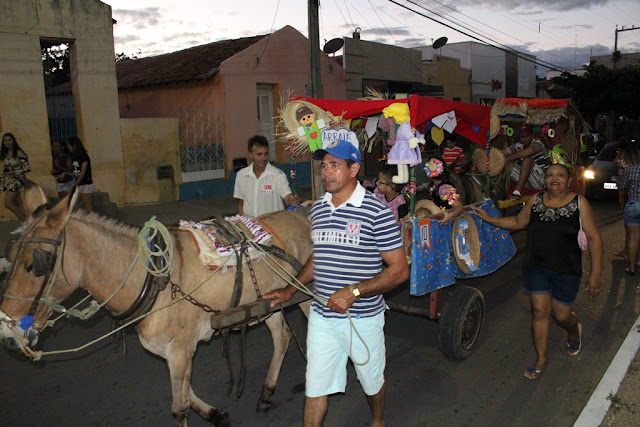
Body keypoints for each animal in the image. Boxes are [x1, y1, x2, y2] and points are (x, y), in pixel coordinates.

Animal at [0, 182, 313, 426]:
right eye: (10, 258)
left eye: (35, 265)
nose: (6, 335)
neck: (153, 279)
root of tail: (303, 216)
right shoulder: (172, 350)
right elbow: (186, 394)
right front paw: (215, 414)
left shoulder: (180, 349)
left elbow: (179, 407)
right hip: (269, 300)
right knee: (282, 336)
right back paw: (266, 394)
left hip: (307, 296)